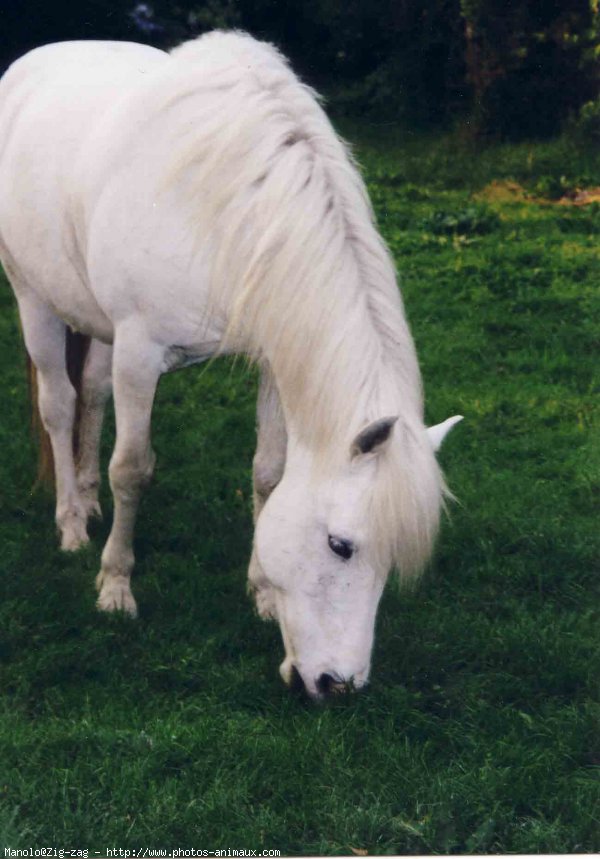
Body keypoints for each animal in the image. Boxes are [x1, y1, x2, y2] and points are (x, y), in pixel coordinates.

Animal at [0, 31, 460, 700]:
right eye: (341, 546)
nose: (339, 686)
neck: (227, 212)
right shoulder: (141, 352)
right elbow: (132, 469)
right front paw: (115, 587)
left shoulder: (269, 359)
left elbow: (268, 473)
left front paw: (262, 592)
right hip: (33, 295)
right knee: (59, 405)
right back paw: (70, 524)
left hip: (95, 321)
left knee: (90, 394)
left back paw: (85, 499)